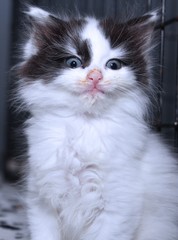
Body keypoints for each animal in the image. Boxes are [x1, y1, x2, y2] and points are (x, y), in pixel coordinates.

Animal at [16, 6, 178, 240]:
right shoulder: (41, 199)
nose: (95, 76)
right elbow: (44, 233)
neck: (85, 124)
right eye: (73, 63)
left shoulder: (118, 206)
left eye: (113, 65)